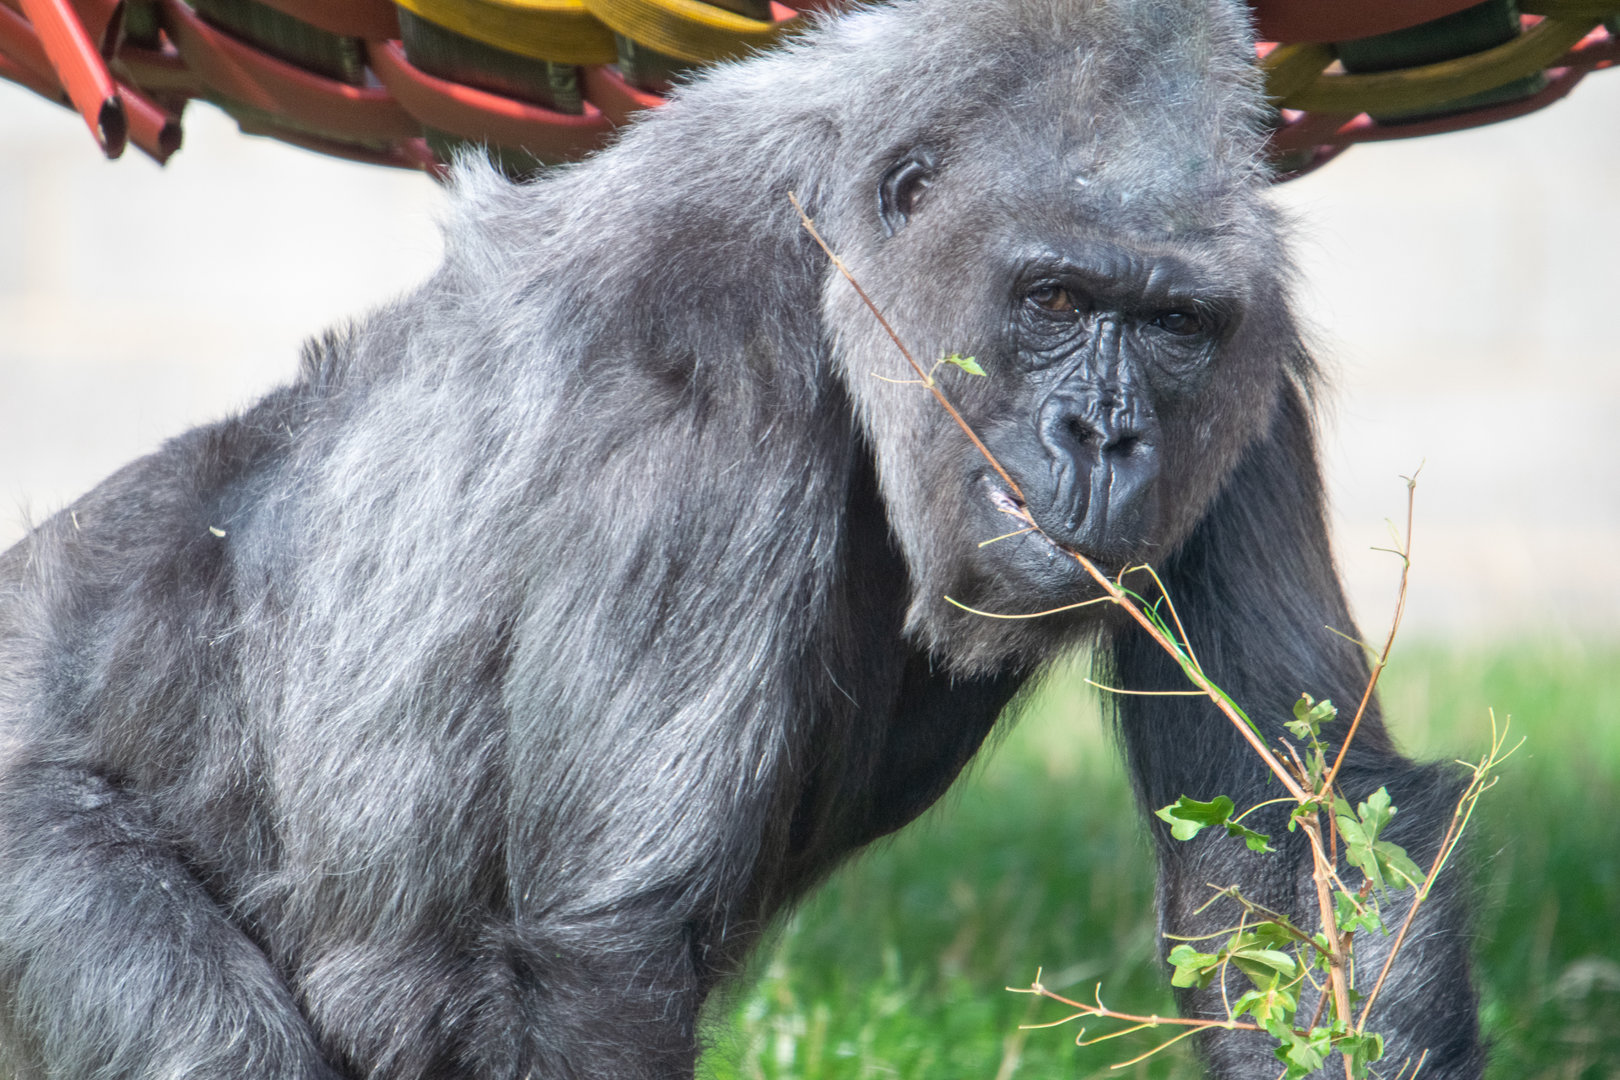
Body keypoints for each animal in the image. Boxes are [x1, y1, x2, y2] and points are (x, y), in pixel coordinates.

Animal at [0, 0, 1481, 1076]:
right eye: (1054, 297)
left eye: (1173, 323)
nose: (1103, 436)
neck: (834, 253)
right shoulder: (703, 382)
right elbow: (610, 956)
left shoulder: (1250, 378)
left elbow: (1296, 838)